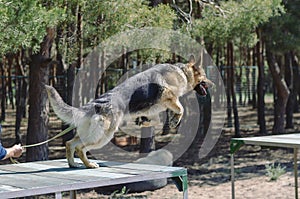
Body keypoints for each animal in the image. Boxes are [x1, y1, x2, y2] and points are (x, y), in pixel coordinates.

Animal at [45, 55, 213, 169]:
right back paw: (89, 165)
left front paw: (157, 122)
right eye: (205, 76)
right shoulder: (168, 95)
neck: (182, 72)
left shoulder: (156, 108)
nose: (213, 84)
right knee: (81, 148)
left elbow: (162, 116)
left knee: (70, 143)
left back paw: (73, 164)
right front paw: (175, 119)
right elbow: (181, 108)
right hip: (104, 135)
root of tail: (93, 105)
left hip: (91, 134)